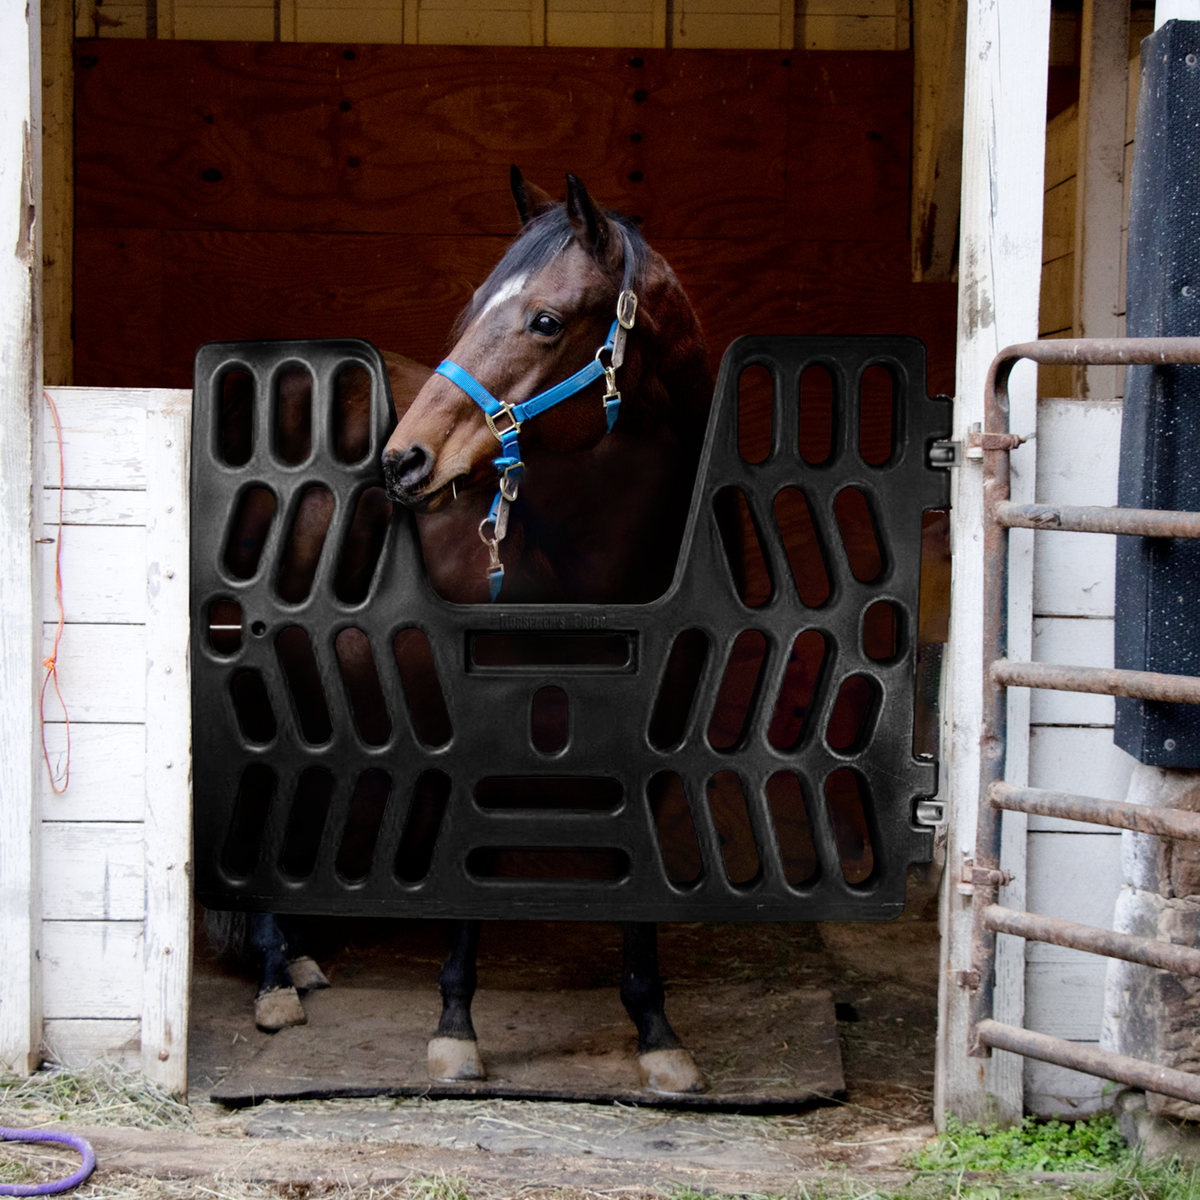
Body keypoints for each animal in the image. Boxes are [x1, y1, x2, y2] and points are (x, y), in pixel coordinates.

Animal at [208, 168, 714, 1095]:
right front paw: (454, 1029)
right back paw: (272, 977)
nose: (402, 461)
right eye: (474, 305)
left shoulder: (650, 745)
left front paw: (658, 1032)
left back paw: (293, 957)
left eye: (545, 320)